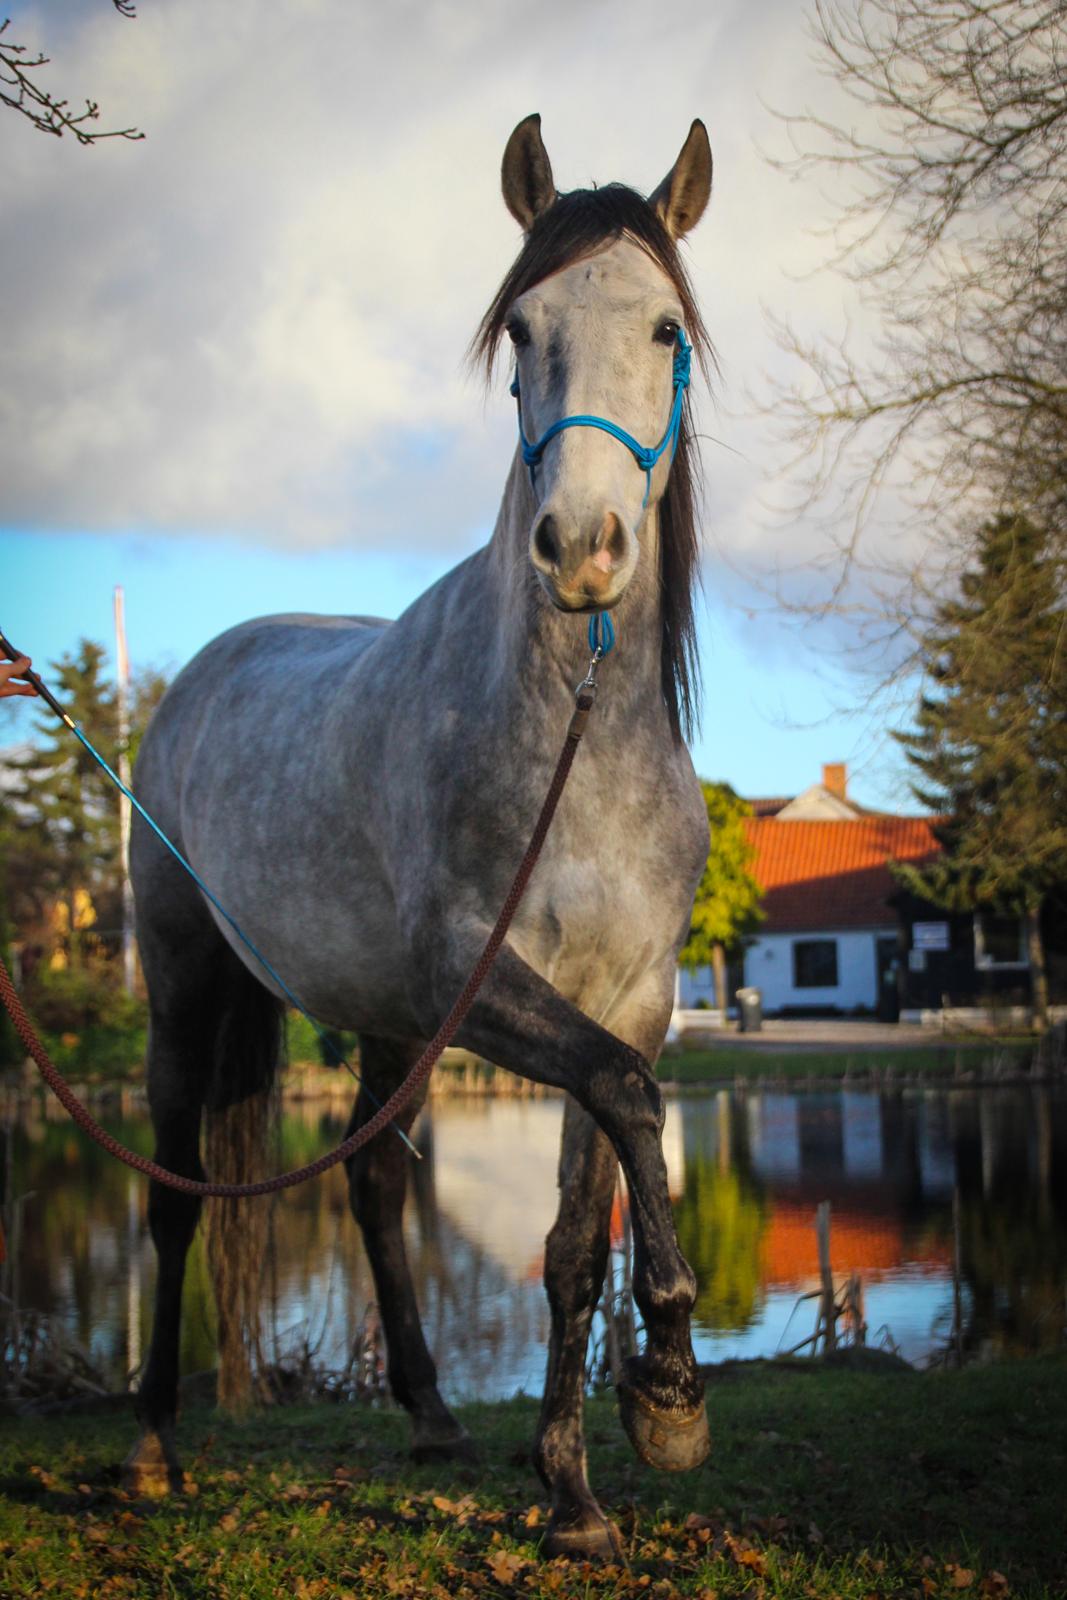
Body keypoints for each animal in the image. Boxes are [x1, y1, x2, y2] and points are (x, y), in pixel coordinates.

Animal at [129, 116, 716, 1561]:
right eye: (519, 327)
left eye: (666, 327)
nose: (581, 545)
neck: (574, 743)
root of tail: (206, 668)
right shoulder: (494, 982)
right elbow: (629, 1096)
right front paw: (668, 1382)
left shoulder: (626, 992)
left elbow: (572, 1238)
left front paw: (571, 1491)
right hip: (182, 985)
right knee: (172, 1194)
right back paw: (153, 1441)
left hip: (389, 1022)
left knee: (374, 1188)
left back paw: (433, 1413)